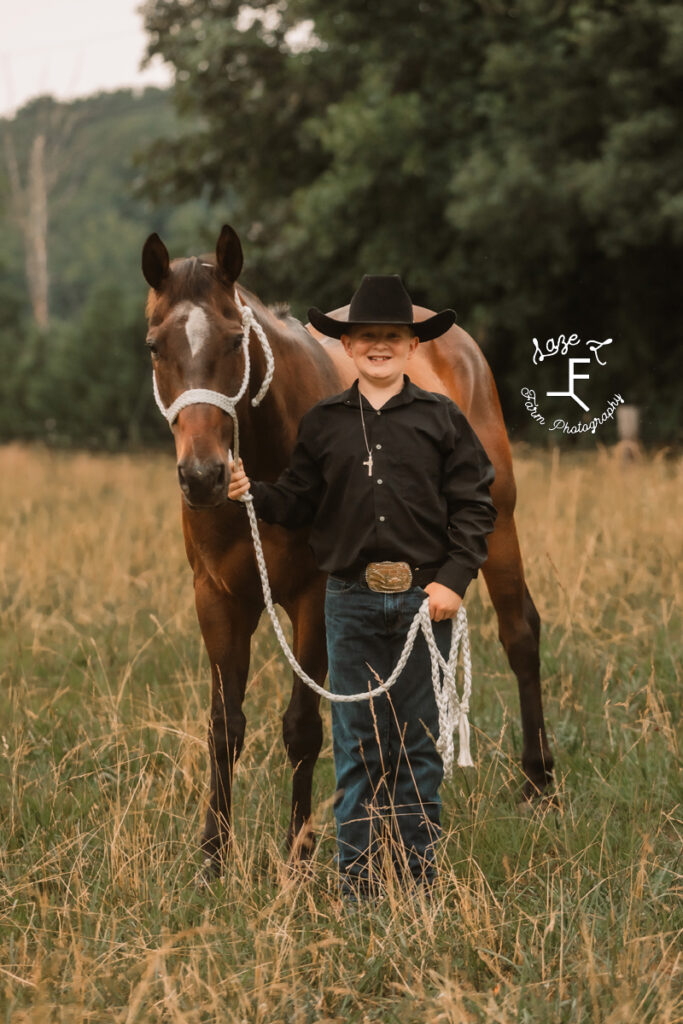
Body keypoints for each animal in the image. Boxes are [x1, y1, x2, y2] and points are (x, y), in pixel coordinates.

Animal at [141, 224, 552, 872]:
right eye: (156, 346)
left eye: (234, 340)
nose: (203, 476)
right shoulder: (218, 600)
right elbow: (223, 727)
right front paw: (213, 856)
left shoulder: (314, 599)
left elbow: (302, 727)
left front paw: (298, 852)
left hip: (499, 527)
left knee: (520, 634)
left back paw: (537, 783)